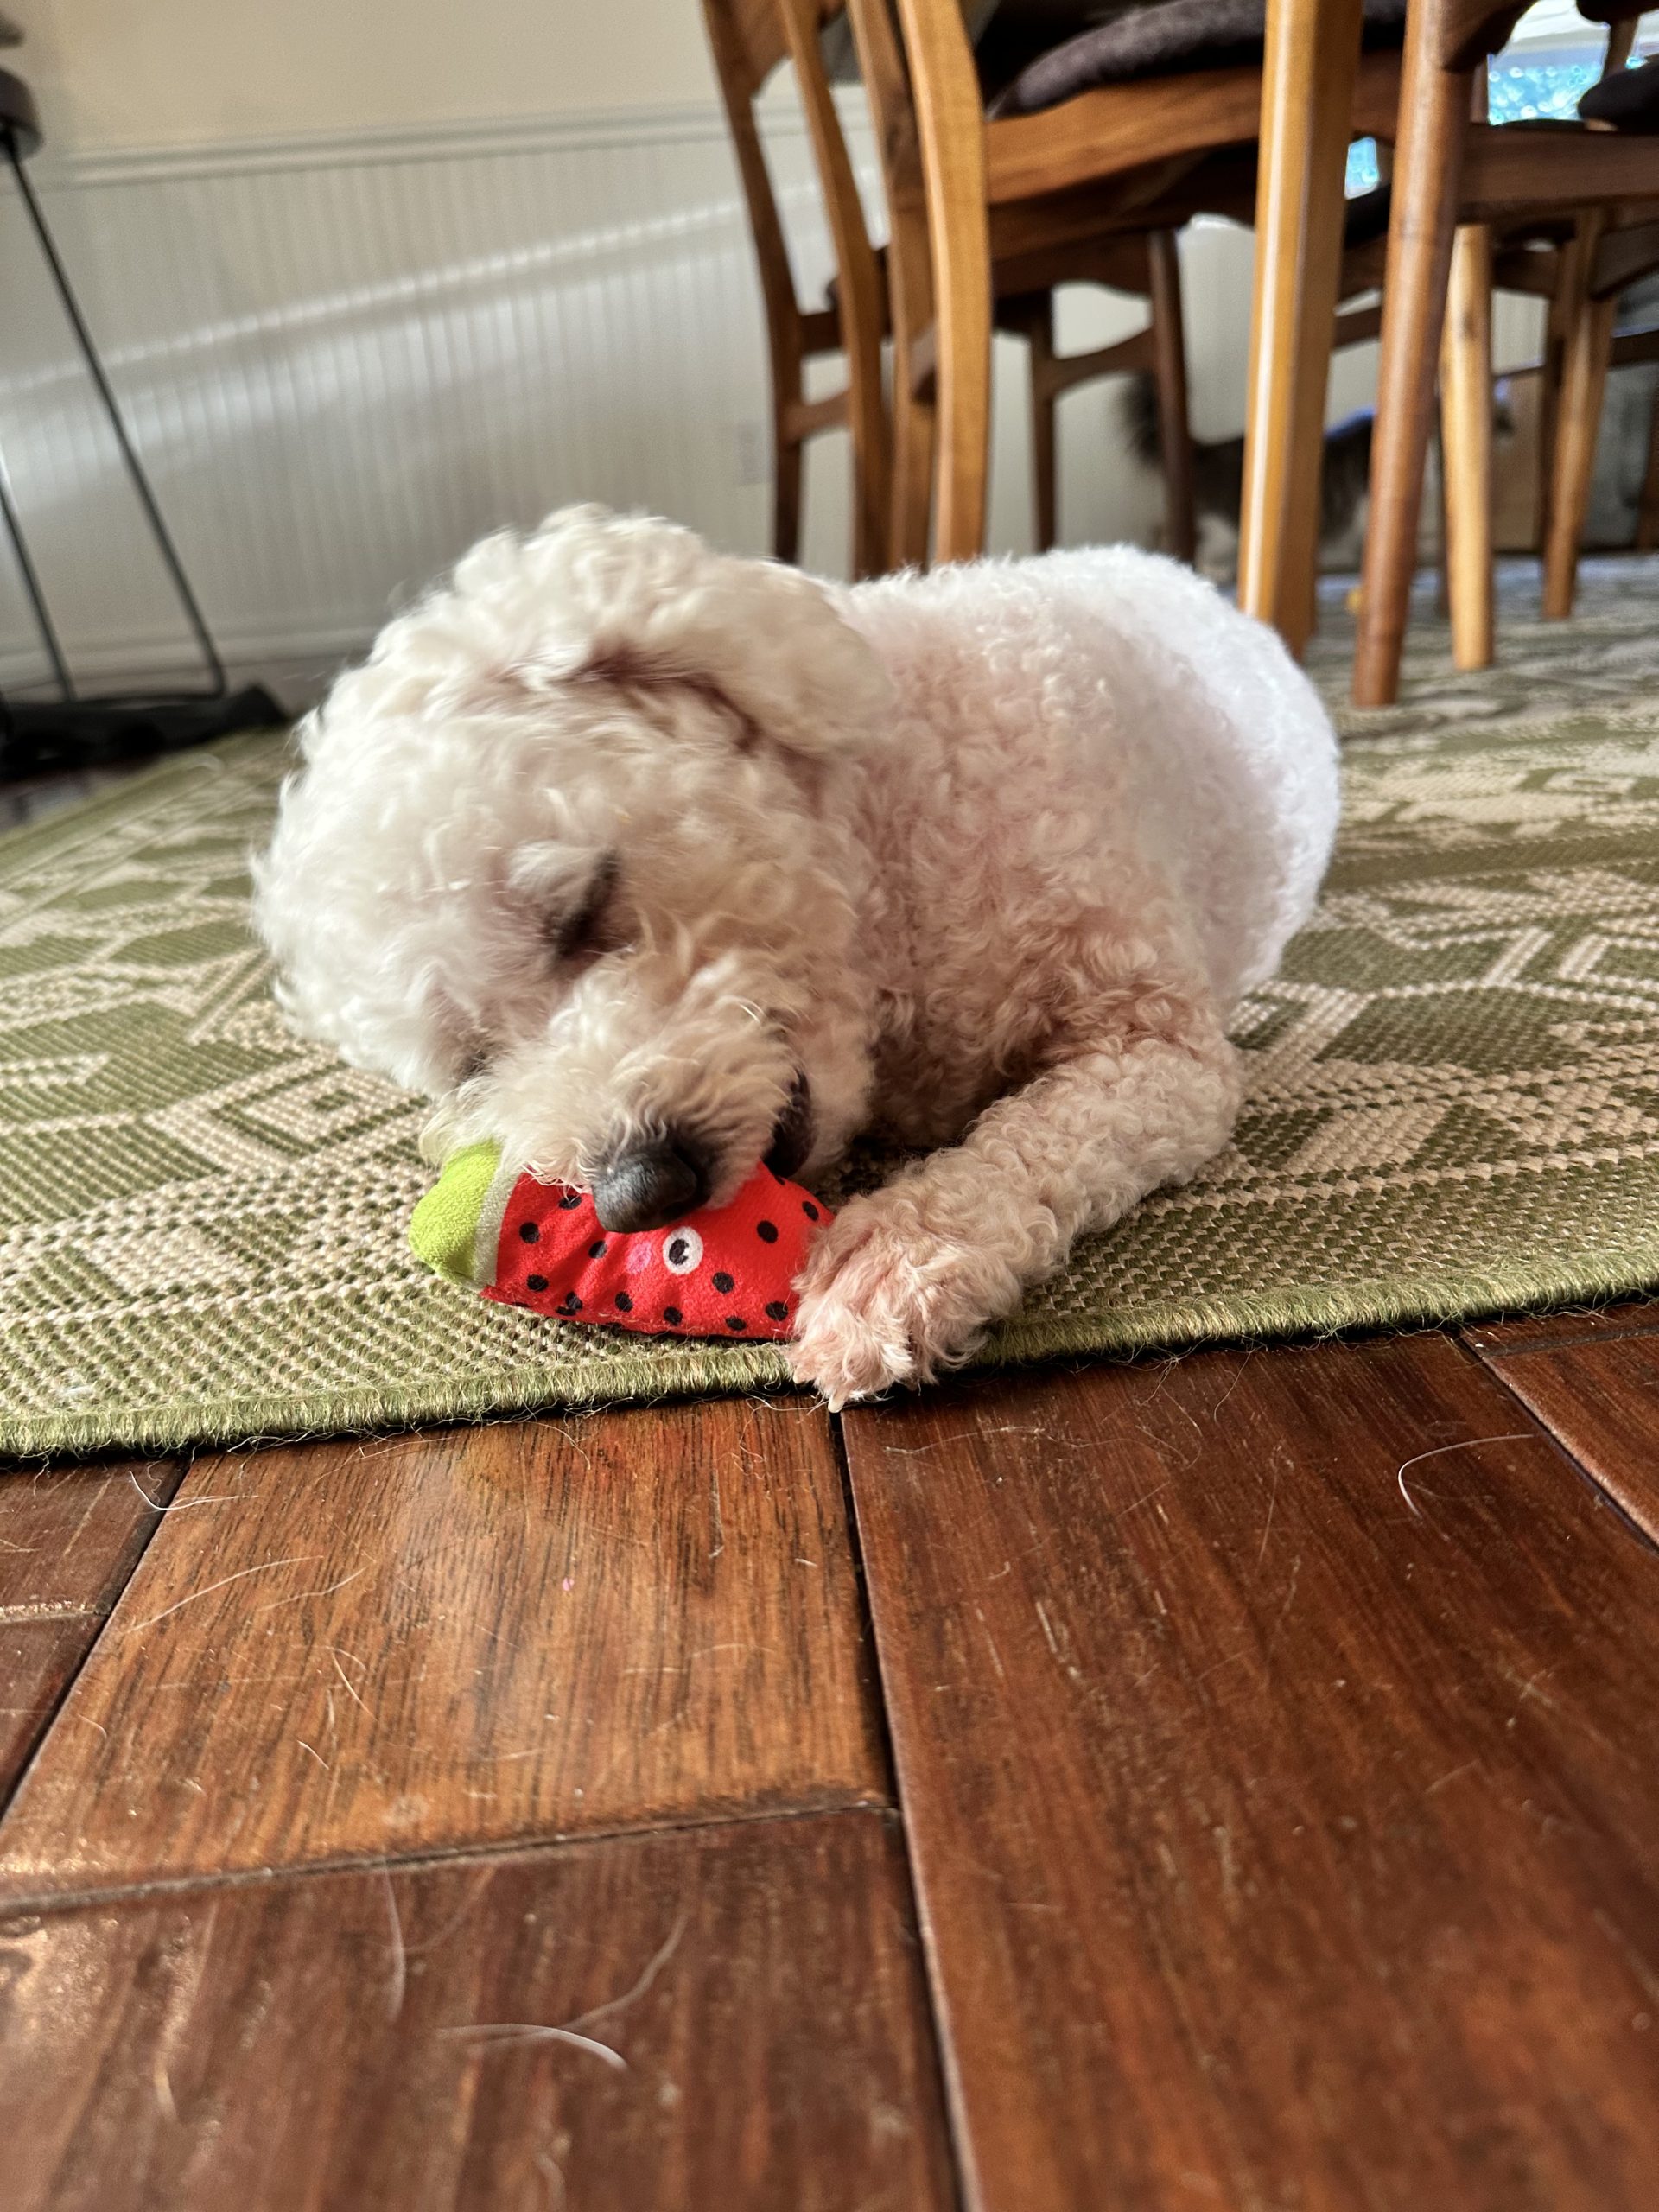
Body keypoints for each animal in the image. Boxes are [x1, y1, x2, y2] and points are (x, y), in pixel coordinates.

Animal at [253, 506, 1344, 1397]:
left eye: (581, 908)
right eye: (474, 1062)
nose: (641, 1191)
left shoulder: (1157, 1045)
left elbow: (1035, 1144)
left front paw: (898, 1258)